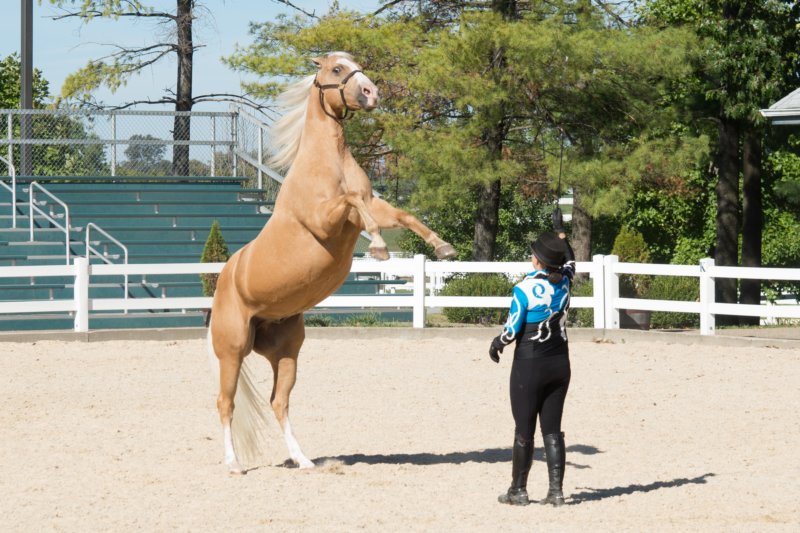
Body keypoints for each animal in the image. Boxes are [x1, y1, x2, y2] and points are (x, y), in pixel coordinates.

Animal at [208, 52, 456, 472]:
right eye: (337, 69)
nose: (372, 92)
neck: (328, 161)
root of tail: (224, 280)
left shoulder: (370, 207)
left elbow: (400, 215)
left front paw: (443, 247)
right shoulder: (327, 219)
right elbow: (354, 203)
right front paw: (379, 248)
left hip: (287, 351)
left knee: (278, 402)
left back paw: (302, 459)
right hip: (232, 351)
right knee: (226, 403)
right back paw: (234, 463)